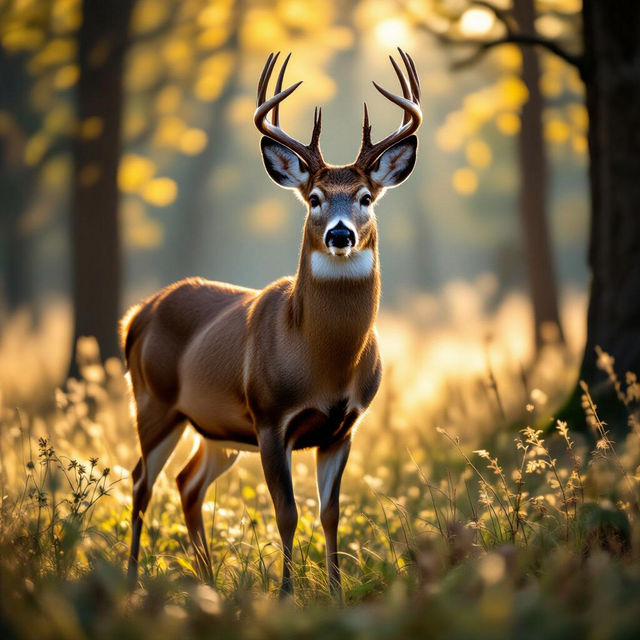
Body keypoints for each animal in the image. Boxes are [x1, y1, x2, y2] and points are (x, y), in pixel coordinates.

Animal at [122, 48, 421, 598]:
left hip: (216, 428)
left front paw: (336, 592)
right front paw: (285, 594)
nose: (341, 234)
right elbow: (287, 514)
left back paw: (209, 581)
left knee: (187, 483)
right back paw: (132, 581)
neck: (323, 362)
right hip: (154, 402)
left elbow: (330, 514)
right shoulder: (269, 417)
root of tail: (136, 315)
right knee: (140, 481)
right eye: (314, 198)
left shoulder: (343, 427)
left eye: (366, 197)